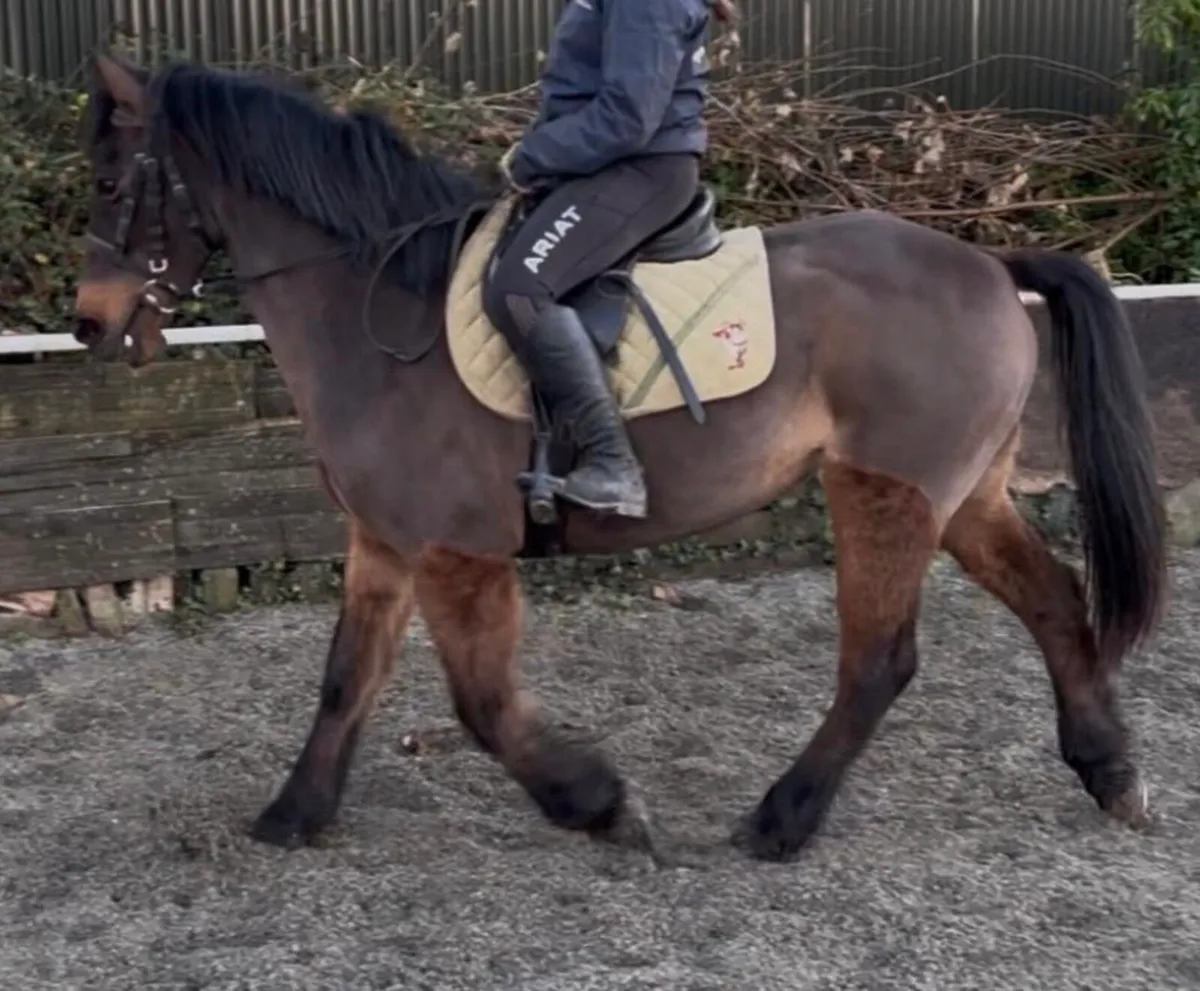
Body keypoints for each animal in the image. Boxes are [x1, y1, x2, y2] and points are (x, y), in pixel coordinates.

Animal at [72, 53, 1167, 864]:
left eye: (113, 181)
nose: (87, 324)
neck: (381, 315)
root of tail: (986, 260)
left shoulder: (457, 550)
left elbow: (481, 703)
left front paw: (597, 802)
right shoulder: (382, 541)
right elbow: (346, 678)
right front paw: (294, 812)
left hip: (883, 494)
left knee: (879, 662)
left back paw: (782, 819)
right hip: (966, 495)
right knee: (1055, 600)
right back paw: (1109, 771)